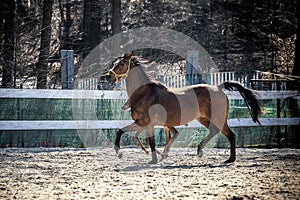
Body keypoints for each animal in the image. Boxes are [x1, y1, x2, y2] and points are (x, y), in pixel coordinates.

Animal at [104, 52, 262, 163]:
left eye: (122, 63)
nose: (108, 77)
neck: (144, 92)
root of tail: (218, 87)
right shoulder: (145, 123)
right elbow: (138, 137)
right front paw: (158, 157)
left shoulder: (145, 122)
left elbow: (129, 134)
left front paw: (123, 153)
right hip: (203, 118)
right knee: (215, 131)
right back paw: (201, 150)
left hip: (218, 118)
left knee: (230, 135)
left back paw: (228, 159)